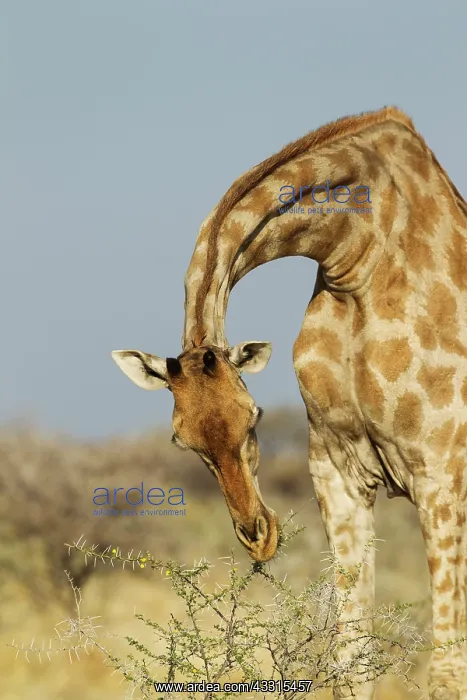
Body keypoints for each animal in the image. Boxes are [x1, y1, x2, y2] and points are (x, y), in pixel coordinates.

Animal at [112, 106, 467, 700]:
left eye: (253, 418)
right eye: (181, 441)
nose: (259, 537)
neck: (359, 255)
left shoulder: (442, 472)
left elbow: (447, 670)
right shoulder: (338, 470)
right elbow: (351, 663)